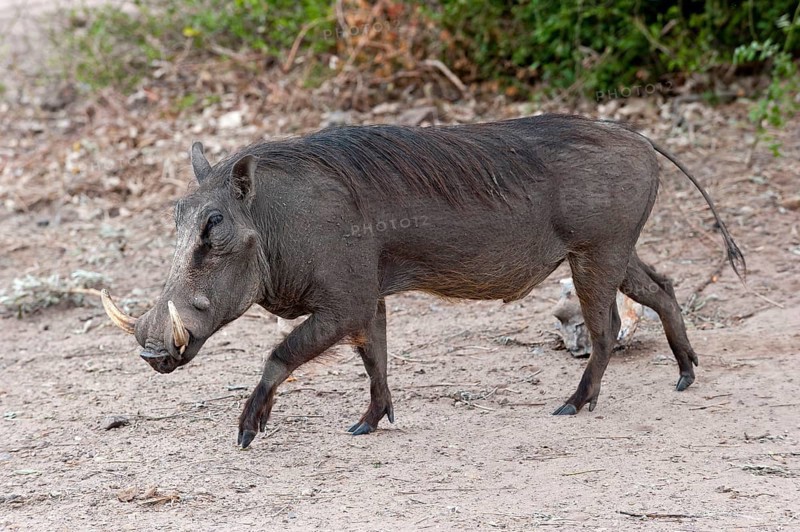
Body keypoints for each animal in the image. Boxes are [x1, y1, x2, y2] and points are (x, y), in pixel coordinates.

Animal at [101, 114, 744, 448]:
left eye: (215, 231)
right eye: (179, 215)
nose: (153, 352)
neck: (277, 221)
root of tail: (639, 137)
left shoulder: (343, 303)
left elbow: (279, 356)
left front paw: (247, 430)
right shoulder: (367, 302)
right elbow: (376, 359)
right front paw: (370, 422)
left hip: (596, 255)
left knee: (607, 328)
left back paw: (574, 405)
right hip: (616, 252)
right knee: (662, 289)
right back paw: (686, 374)